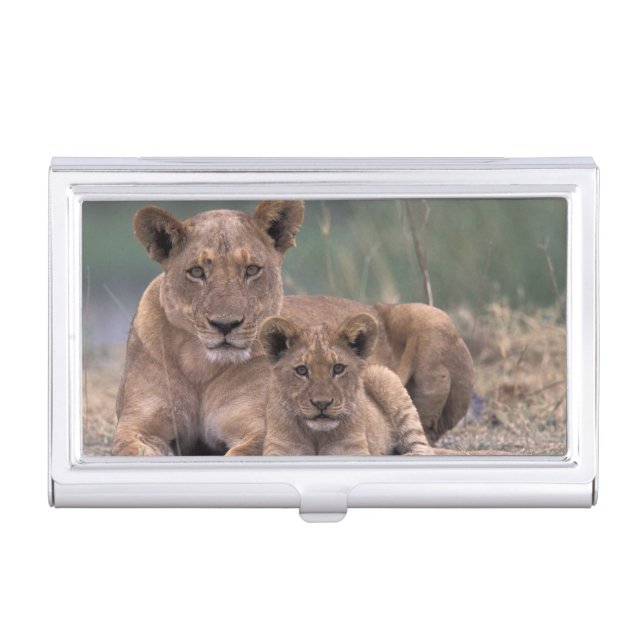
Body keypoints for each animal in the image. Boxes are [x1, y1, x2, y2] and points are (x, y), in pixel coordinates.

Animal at [259, 314, 434, 456]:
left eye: (338, 368)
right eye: (301, 370)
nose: (322, 404)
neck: (316, 436)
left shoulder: (352, 448)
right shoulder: (279, 447)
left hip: (382, 375)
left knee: (423, 447)